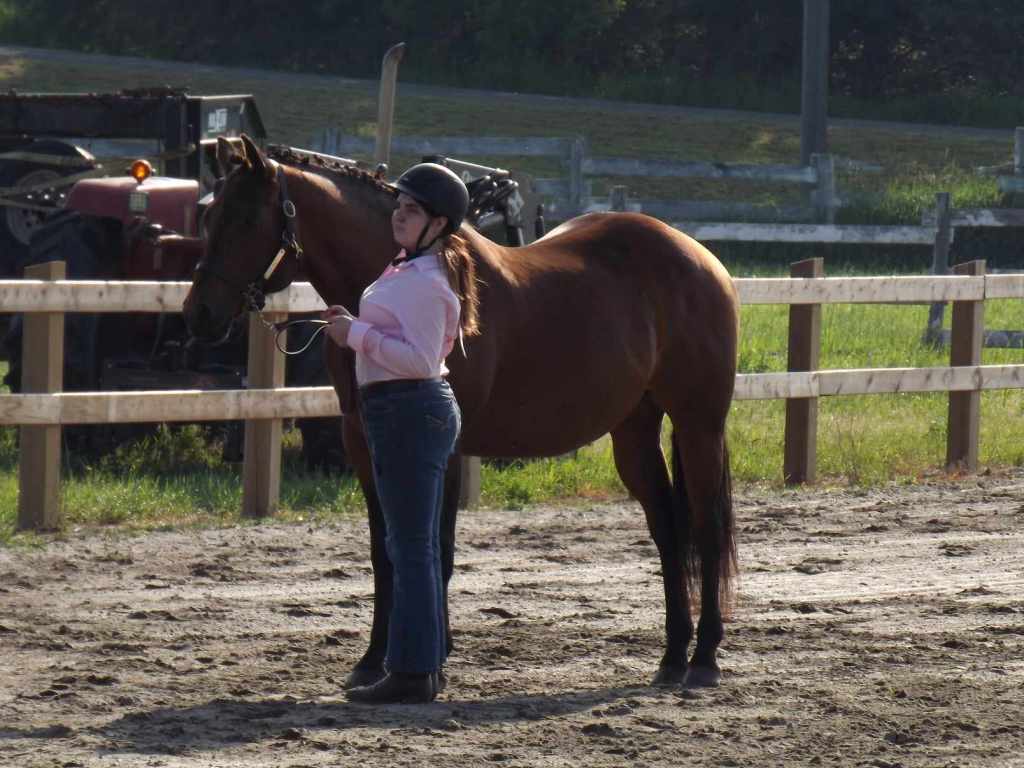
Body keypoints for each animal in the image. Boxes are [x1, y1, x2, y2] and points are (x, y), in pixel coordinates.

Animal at [183, 134, 740, 689]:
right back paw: (672, 656)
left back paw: (704, 657)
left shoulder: (444, 447)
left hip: (699, 425)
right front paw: (373, 660)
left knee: (706, 526)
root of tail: (698, 255)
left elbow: (438, 548)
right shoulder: (364, 443)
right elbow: (385, 551)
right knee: (667, 528)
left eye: (246, 219)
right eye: (208, 216)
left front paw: (430, 661)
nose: (198, 315)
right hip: (634, 431)